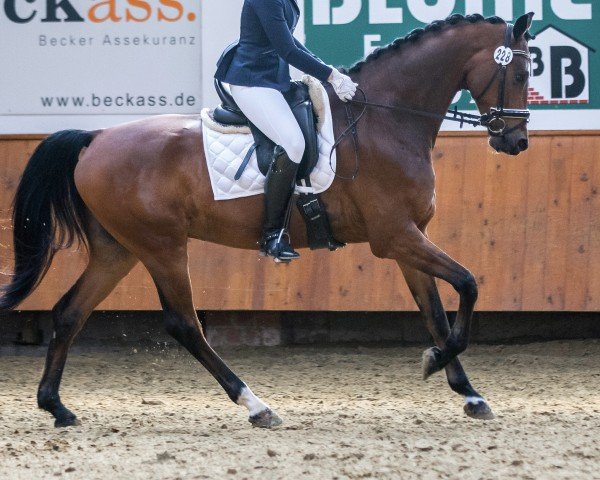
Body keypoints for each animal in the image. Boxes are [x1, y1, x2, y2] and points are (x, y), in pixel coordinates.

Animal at [1, 14, 536, 428]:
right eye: (520, 71)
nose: (516, 143)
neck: (385, 120)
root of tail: (94, 138)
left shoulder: (409, 239)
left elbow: (436, 313)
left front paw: (469, 393)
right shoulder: (395, 237)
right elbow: (468, 284)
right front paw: (435, 363)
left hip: (119, 249)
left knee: (69, 312)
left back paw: (56, 407)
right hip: (161, 247)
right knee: (184, 324)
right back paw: (256, 405)